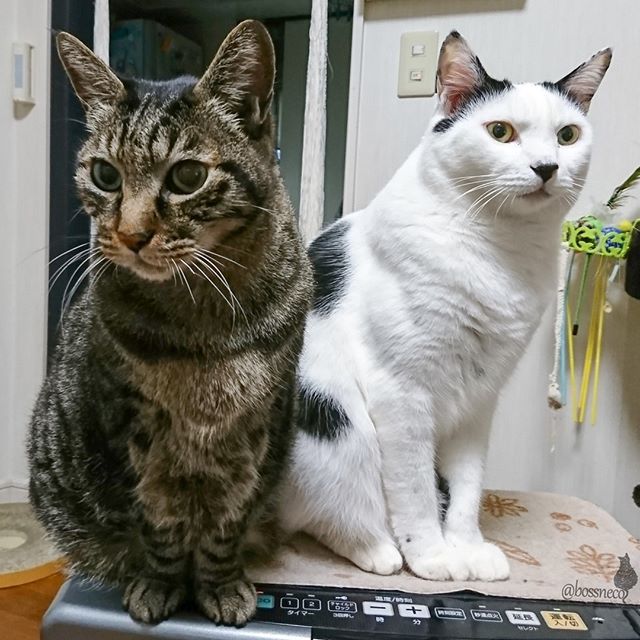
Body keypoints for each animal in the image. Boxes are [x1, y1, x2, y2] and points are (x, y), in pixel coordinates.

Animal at [28, 20, 311, 626]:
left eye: (186, 176)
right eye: (105, 174)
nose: (131, 235)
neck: (202, 319)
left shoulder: (252, 433)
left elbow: (225, 524)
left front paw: (220, 585)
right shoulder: (135, 431)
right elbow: (159, 524)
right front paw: (161, 584)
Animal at [280, 32, 611, 582]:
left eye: (567, 135)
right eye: (500, 131)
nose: (547, 167)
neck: (499, 249)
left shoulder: (481, 399)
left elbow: (467, 486)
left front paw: (467, 547)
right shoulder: (402, 392)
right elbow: (413, 487)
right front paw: (432, 555)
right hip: (336, 424)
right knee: (327, 510)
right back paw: (379, 549)